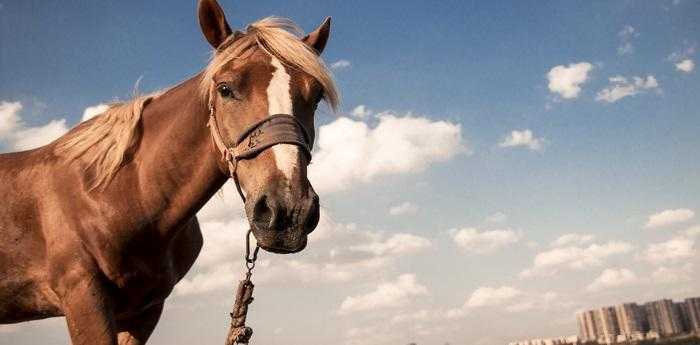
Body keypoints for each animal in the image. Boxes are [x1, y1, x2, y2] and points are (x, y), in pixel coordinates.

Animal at [0, 1, 340, 342]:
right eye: (225, 88)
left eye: (315, 96)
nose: (288, 211)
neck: (121, 193)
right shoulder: (83, 298)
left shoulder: (144, 311)